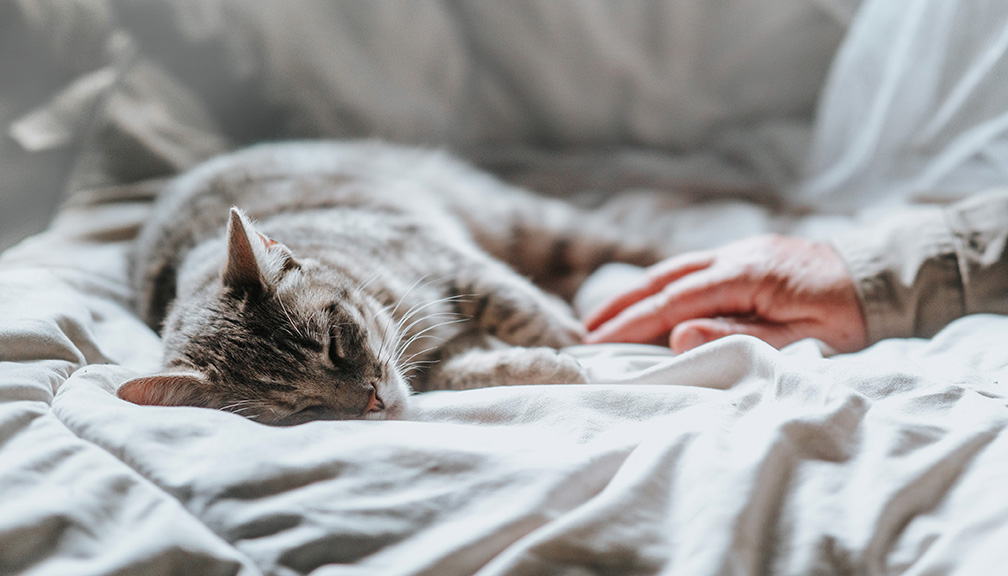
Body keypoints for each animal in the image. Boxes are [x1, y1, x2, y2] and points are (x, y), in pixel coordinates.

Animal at [119, 142, 661, 425]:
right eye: (302, 409)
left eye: (335, 346)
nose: (374, 402)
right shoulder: (439, 360)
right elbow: (471, 370)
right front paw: (546, 365)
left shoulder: (450, 261)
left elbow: (517, 309)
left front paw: (571, 341)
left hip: (531, 224)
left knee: (629, 246)